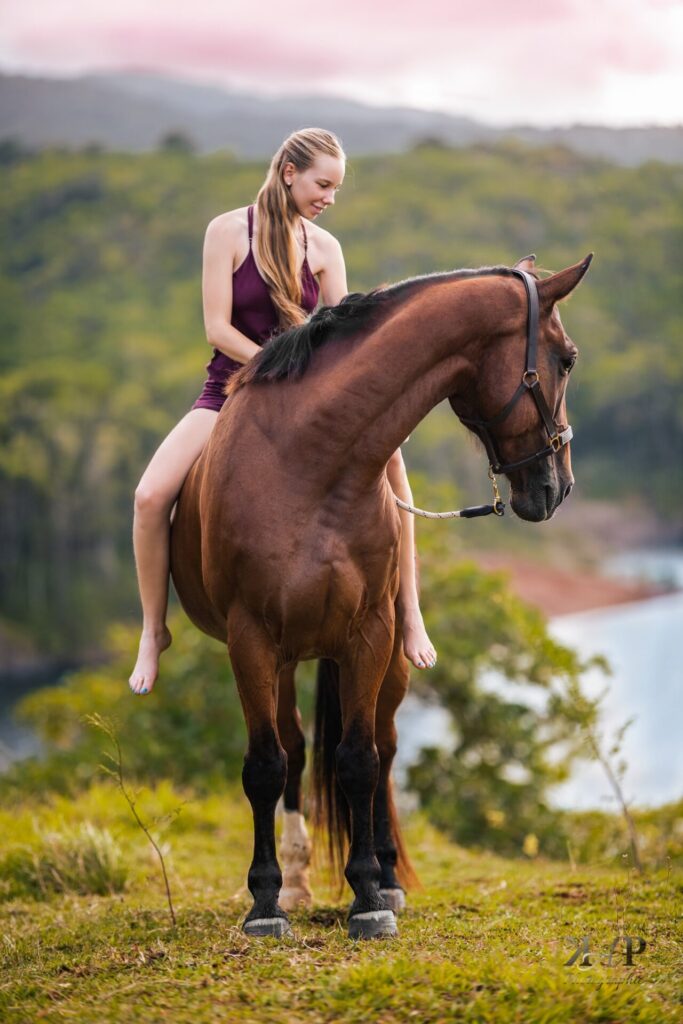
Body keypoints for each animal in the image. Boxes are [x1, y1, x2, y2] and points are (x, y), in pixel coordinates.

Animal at [169, 253, 593, 937]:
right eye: (568, 358)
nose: (559, 486)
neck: (309, 463)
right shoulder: (250, 639)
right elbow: (266, 766)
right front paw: (265, 900)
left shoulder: (369, 633)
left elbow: (360, 760)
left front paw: (368, 893)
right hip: (282, 659)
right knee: (293, 750)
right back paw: (296, 883)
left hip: (387, 655)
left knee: (385, 750)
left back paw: (387, 877)